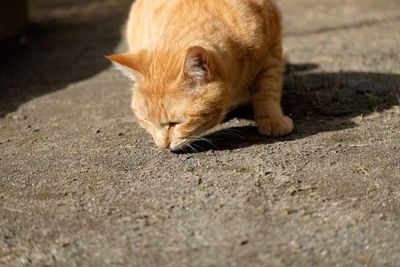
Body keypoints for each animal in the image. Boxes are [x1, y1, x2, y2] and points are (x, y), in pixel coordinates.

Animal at [106, 0, 294, 151]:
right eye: (145, 120)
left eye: (175, 123)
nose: (162, 146)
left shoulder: (272, 52)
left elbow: (268, 90)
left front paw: (272, 118)